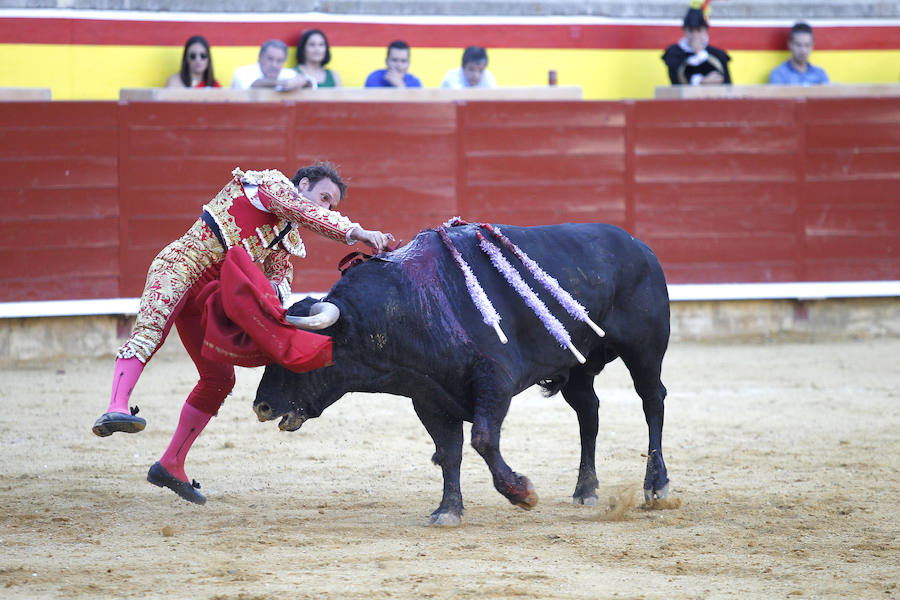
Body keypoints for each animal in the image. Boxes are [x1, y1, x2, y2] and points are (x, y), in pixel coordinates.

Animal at [253, 224, 668, 524]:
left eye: (296, 350)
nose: (261, 407)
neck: (411, 306)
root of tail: (640, 247)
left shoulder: (494, 380)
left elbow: (482, 439)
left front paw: (522, 493)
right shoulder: (429, 397)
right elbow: (448, 452)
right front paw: (448, 510)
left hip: (644, 350)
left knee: (652, 403)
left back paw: (656, 486)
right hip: (577, 363)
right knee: (589, 414)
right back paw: (586, 490)